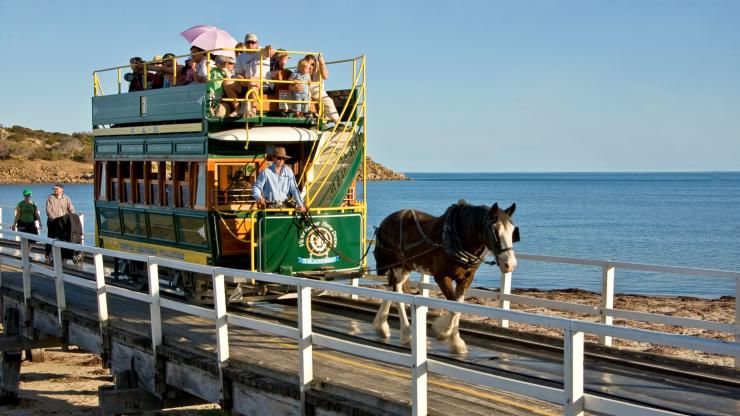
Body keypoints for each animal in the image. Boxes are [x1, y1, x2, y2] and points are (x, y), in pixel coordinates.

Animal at [370, 202, 520, 354]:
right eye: (495, 230)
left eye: (512, 231)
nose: (510, 264)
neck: (457, 237)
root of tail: (385, 221)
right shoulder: (442, 277)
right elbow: (454, 307)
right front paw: (445, 334)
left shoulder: (466, 279)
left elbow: (458, 306)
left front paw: (455, 341)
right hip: (397, 265)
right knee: (398, 294)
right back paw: (407, 334)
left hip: (406, 266)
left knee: (392, 289)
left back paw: (381, 327)